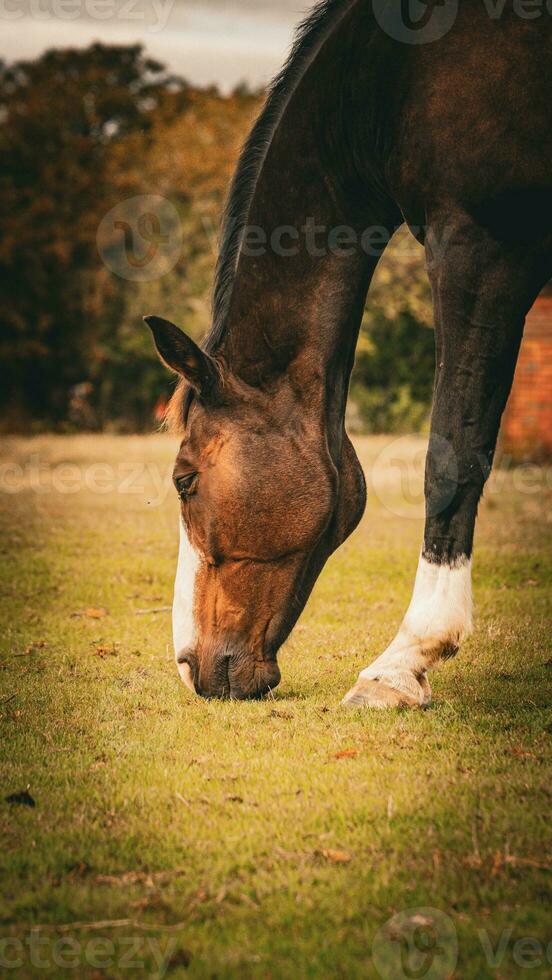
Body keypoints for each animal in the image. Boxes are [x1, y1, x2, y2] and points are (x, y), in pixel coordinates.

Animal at [144, 0, 548, 704]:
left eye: (183, 480)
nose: (189, 667)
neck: (392, 76)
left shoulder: (482, 248)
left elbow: (452, 457)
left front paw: (403, 661)